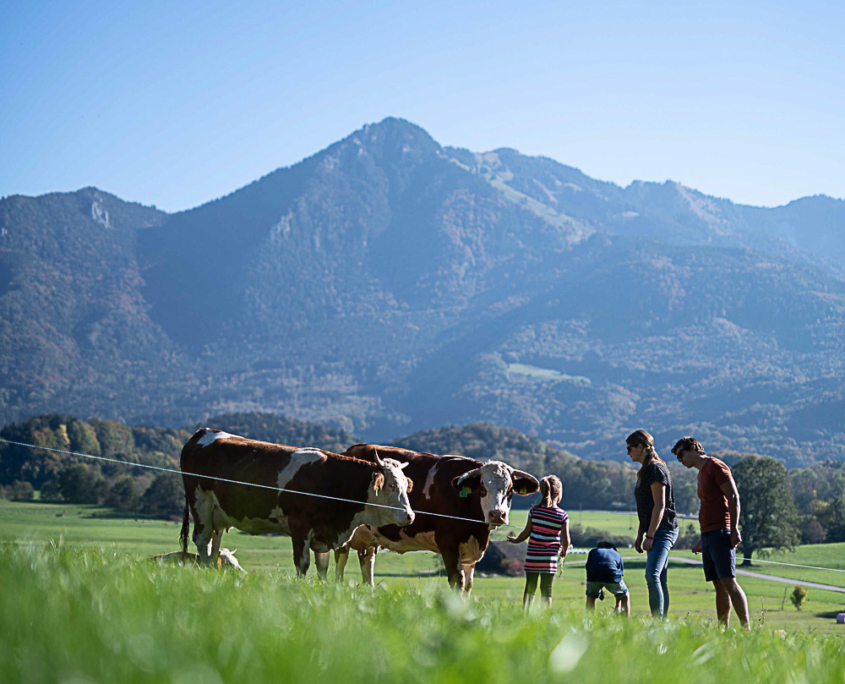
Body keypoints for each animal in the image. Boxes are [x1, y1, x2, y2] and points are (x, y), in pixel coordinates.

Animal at [180, 428, 414, 576]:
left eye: (406, 486)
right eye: (391, 485)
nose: (410, 515)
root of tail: (203, 431)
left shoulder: (323, 533)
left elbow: (322, 567)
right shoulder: (300, 525)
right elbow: (302, 564)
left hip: (218, 514)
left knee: (214, 545)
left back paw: (212, 573)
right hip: (200, 504)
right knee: (202, 540)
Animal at [332, 444, 536, 592]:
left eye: (510, 490)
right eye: (482, 488)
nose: (497, 514)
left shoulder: (470, 550)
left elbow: (468, 584)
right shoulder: (448, 543)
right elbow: (457, 581)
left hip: (369, 536)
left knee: (367, 562)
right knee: (340, 557)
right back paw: (337, 588)